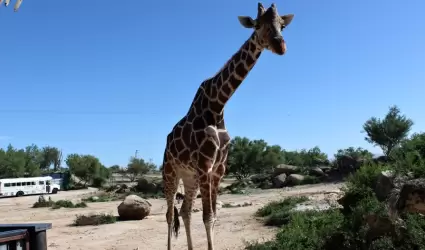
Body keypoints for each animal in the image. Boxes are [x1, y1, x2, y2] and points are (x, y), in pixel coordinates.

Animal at [162, 2, 294, 250]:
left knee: (185, 212)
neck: (218, 104)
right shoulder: (205, 166)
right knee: (170, 214)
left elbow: (213, 216)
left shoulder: (218, 169)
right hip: (170, 173)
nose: (280, 46)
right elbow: (206, 216)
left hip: (190, 177)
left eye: (282, 25)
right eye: (257, 25)